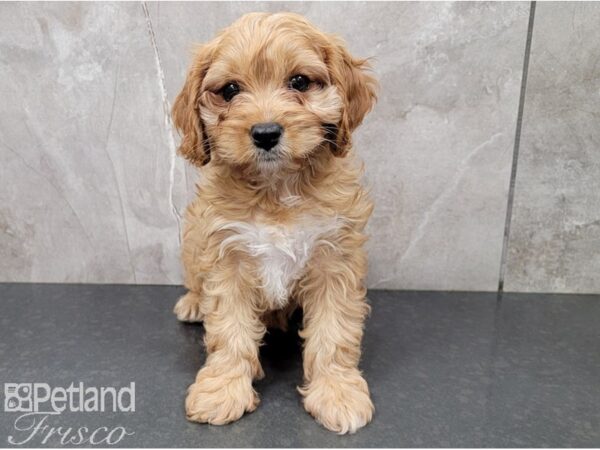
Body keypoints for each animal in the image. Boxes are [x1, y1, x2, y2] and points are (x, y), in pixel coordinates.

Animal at [171, 12, 376, 434]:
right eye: (230, 90)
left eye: (299, 82)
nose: (265, 133)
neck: (276, 188)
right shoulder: (226, 255)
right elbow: (229, 332)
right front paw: (222, 391)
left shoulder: (335, 258)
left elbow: (334, 332)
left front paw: (337, 392)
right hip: (192, 238)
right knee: (196, 282)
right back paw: (193, 302)